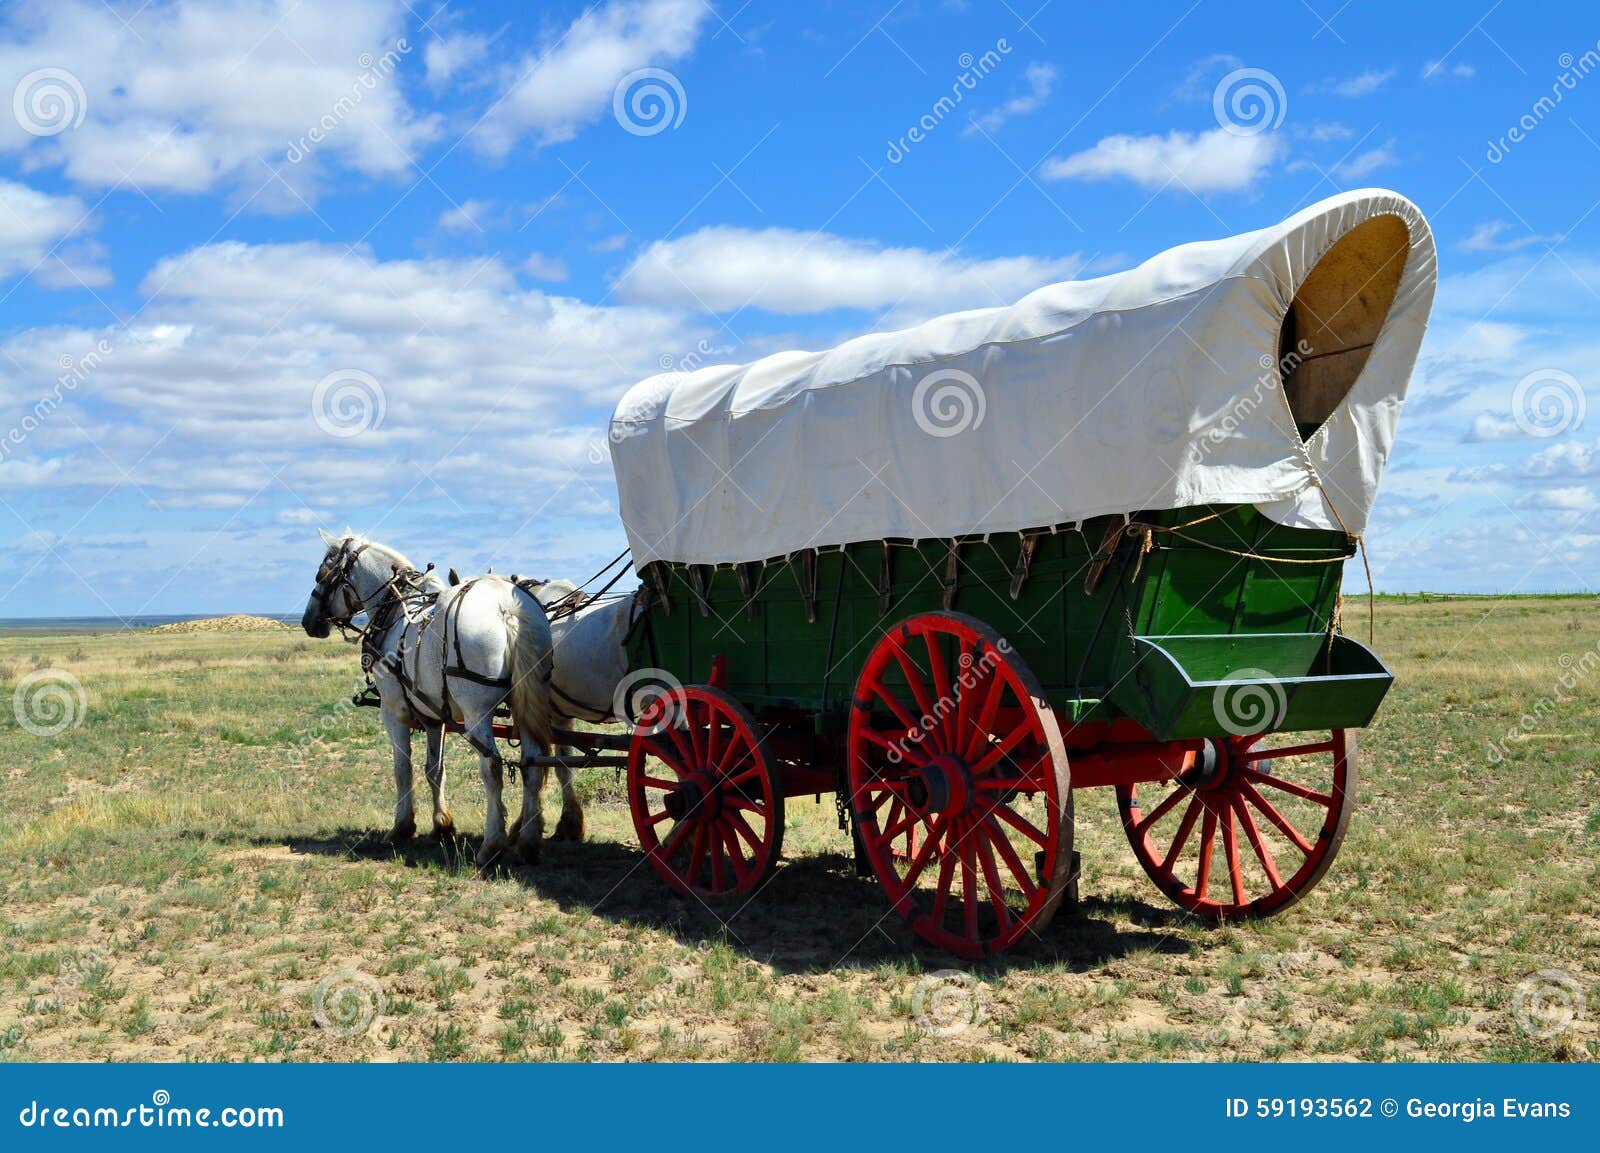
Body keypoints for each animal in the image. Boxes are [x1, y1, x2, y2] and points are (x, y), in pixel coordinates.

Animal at [299, 530, 569, 863]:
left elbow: (402, 769)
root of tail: (508, 607)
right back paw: (528, 843)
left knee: (492, 767)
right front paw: (442, 825)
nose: (309, 621)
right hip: (528, 702)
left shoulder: (394, 710)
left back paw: (492, 844)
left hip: (477, 712)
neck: (395, 610)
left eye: (322, 574)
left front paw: (401, 827)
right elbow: (434, 769)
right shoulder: (434, 716)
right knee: (532, 764)